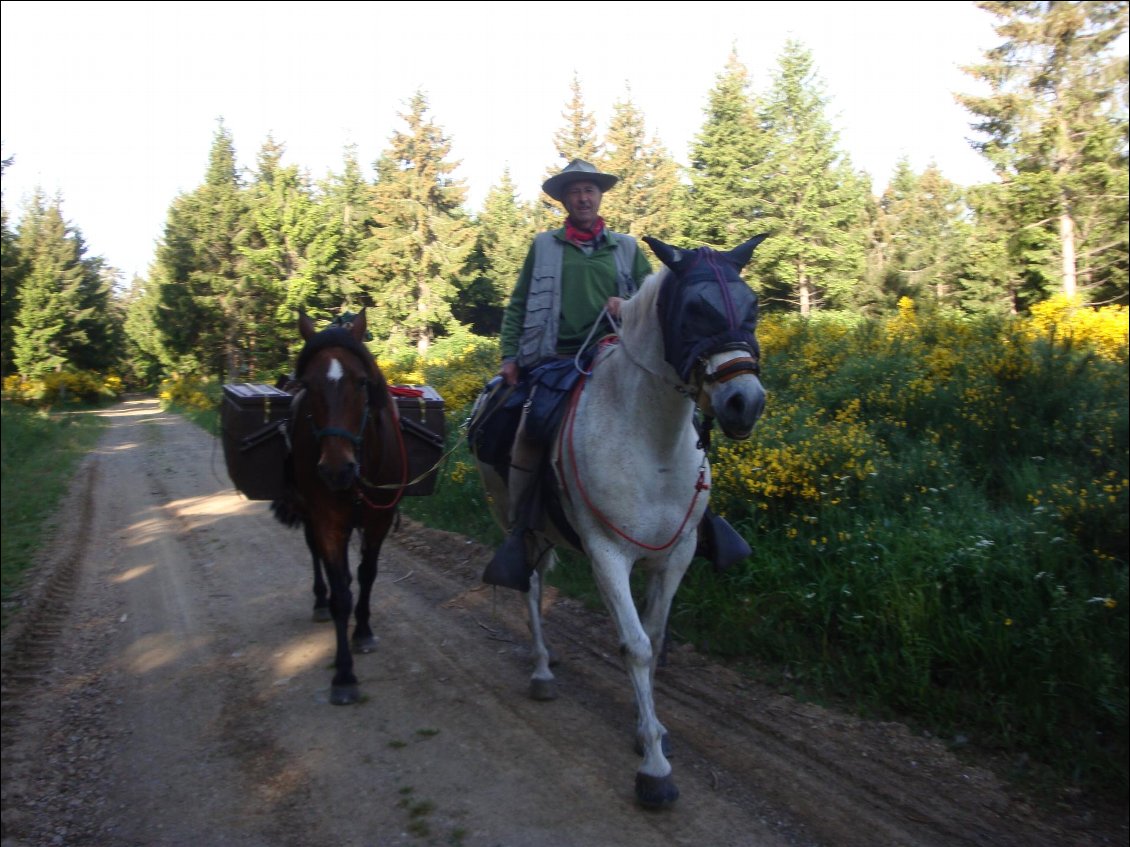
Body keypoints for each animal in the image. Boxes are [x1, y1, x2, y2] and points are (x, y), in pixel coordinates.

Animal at [272, 309, 406, 704]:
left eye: (362, 382)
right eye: (307, 384)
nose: (336, 468)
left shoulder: (379, 520)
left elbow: (366, 575)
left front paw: (362, 631)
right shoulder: (327, 521)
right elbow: (342, 596)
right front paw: (344, 675)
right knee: (315, 554)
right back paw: (320, 600)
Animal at [472, 232, 772, 808]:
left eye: (752, 306)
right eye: (694, 309)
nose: (743, 402)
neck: (651, 441)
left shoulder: (675, 558)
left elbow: (653, 642)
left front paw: (649, 730)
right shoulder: (607, 554)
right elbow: (634, 647)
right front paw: (654, 768)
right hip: (510, 517)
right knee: (532, 586)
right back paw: (541, 668)